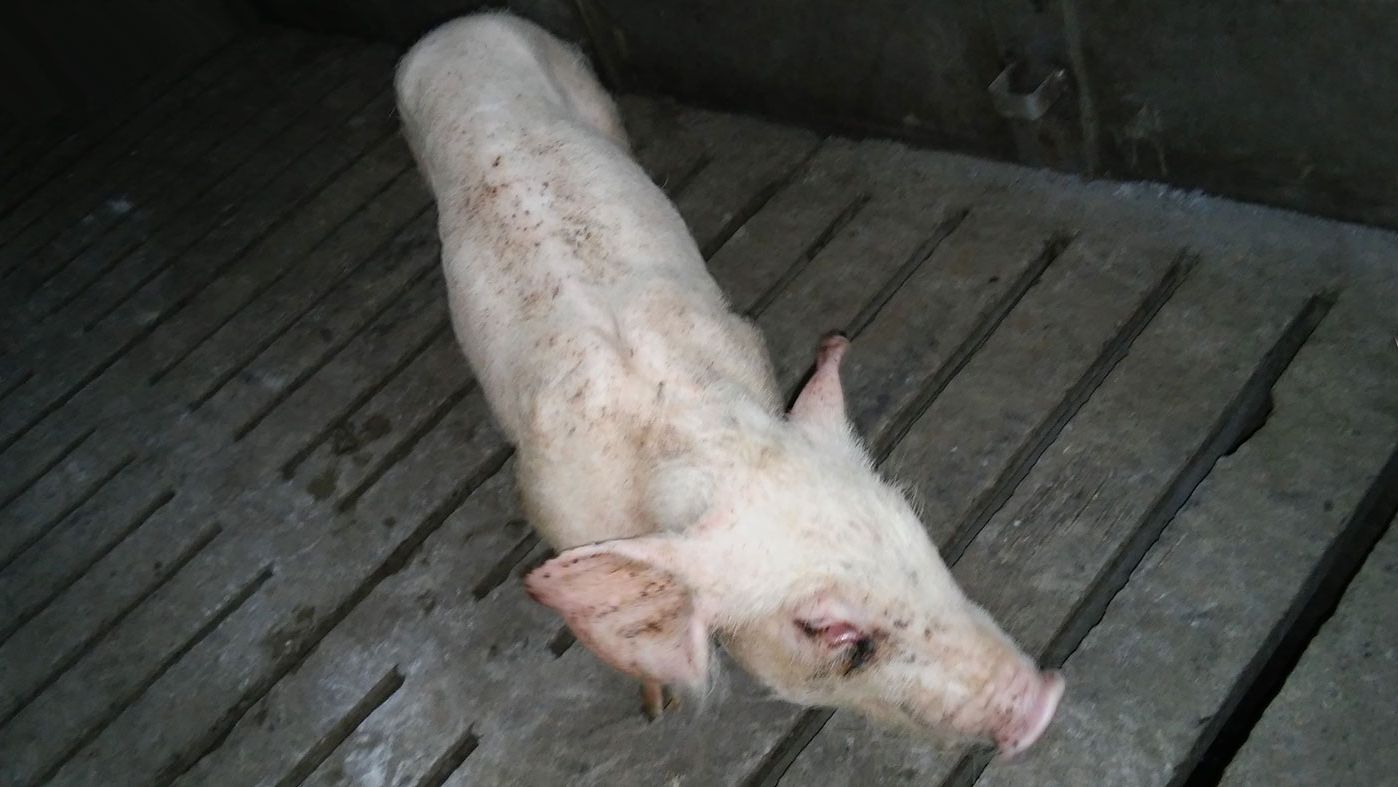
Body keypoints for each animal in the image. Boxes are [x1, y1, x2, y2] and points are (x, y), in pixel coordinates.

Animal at [394, 12, 1063, 757]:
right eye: (829, 629)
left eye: (921, 541)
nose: (1044, 700)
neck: (679, 421)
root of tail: (463, 25)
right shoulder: (547, 501)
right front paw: (655, 709)